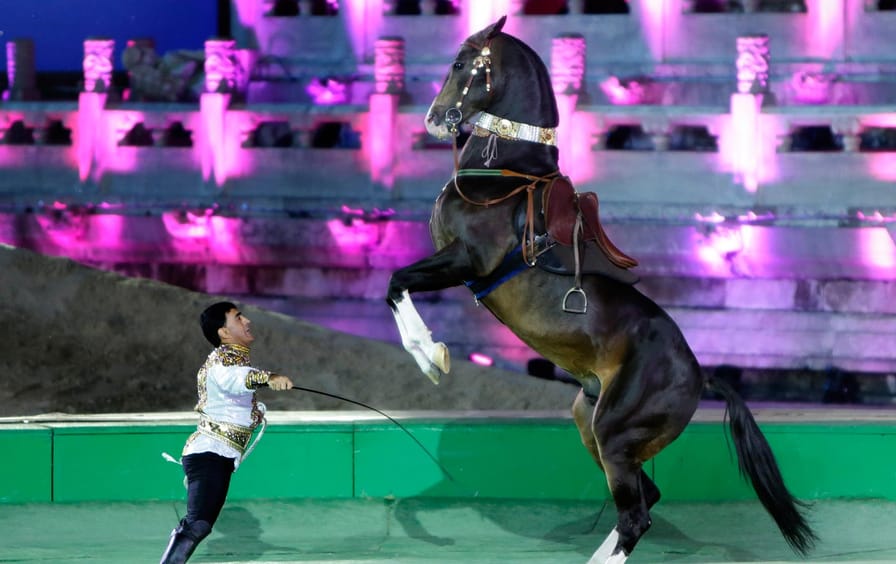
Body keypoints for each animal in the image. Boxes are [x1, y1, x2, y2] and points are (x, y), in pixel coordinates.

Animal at [386, 16, 817, 563]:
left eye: (462, 63)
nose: (435, 119)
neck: (502, 174)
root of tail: (701, 377)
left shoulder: (469, 262)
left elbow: (396, 283)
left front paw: (431, 356)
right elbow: (397, 285)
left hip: (614, 431)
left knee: (636, 515)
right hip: (590, 418)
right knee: (646, 499)